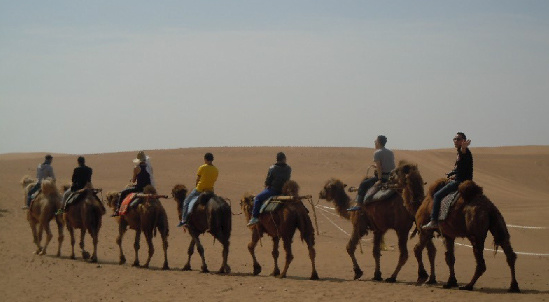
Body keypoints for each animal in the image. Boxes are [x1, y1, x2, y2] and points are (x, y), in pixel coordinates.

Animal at [392, 165, 520, 292]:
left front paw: (422, 276)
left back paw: (468, 286)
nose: (389, 178)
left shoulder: (425, 230)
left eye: (397, 173)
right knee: (509, 253)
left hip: (475, 232)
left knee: (481, 263)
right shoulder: (448, 234)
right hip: (498, 223)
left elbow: (417, 250)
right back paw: (513, 286)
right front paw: (451, 281)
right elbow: (450, 258)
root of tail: (489, 208)